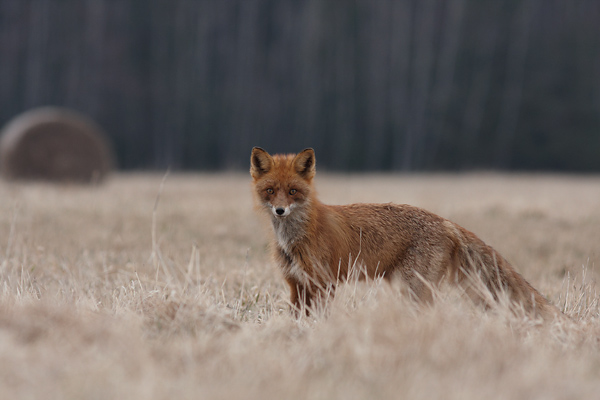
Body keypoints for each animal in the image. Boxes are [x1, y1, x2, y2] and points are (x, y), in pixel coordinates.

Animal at [250, 147, 561, 320]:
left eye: (293, 191)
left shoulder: (324, 283)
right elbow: (297, 320)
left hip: (412, 288)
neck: (295, 239)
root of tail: (445, 221)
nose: (280, 210)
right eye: (270, 191)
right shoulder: (296, 286)